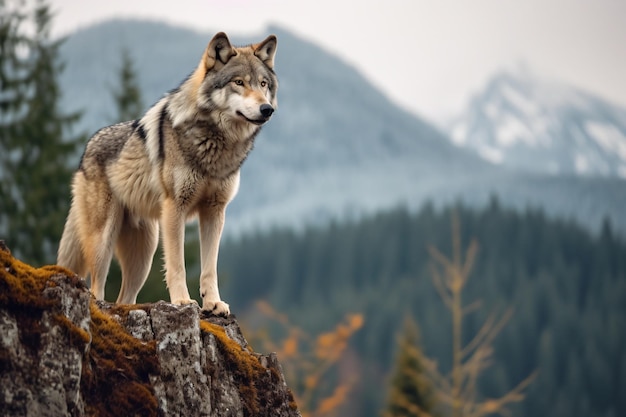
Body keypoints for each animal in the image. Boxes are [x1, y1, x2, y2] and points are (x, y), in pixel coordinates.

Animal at [58, 32, 278, 314]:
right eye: (239, 82)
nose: (267, 109)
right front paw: (182, 301)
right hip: (104, 241)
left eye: (263, 84)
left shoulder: (215, 212)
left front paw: (213, 303)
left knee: (124, 298)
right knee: (96, 286)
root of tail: (86, 149)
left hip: (144, 254)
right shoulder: (176, 208)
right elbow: (177, 265)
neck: (214, 142)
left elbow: (210, 268)